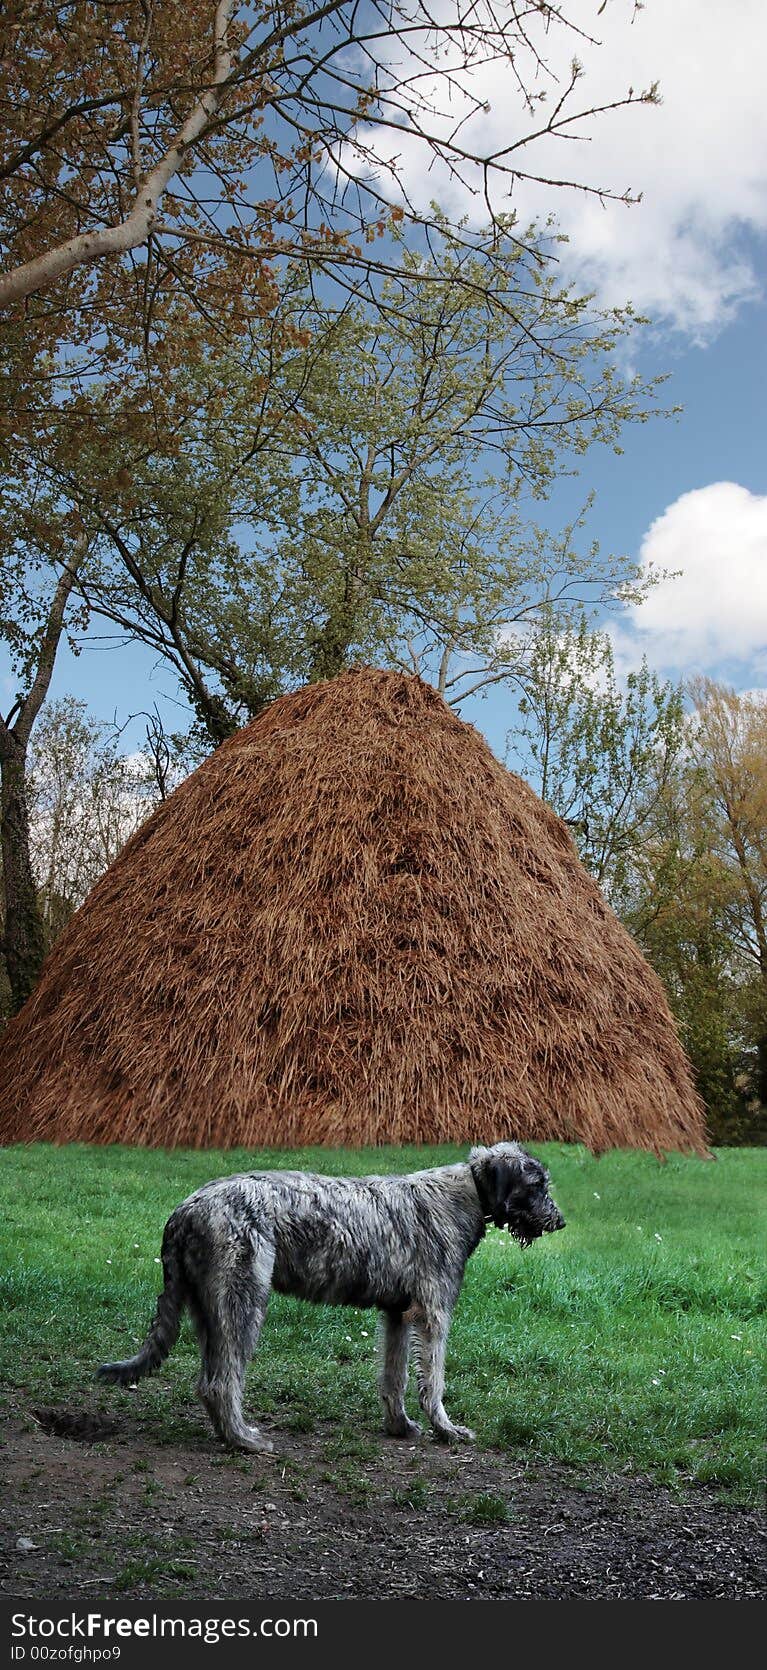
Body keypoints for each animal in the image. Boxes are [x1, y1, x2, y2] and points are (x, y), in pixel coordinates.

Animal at [97, 1148, 564, 1449]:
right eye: (537, 1183)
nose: (559, 1221)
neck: (464, 1192)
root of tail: (184, 1210)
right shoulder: (433, 1313)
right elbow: (433, 1381)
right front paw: (447, 1430)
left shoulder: (398, 1314)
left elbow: (394, 1376)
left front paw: (399, 1426)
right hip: (243, 1302)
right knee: (220, 1382)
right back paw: (244, 1440)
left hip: (209, 1308)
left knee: (207, 1379)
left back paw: (228, 1434)